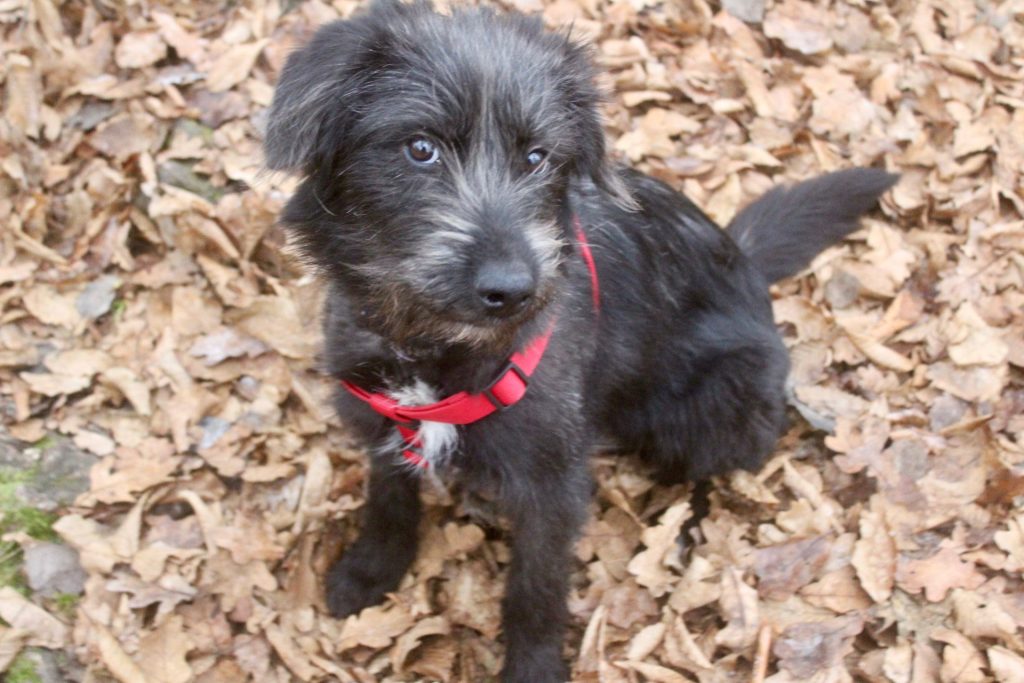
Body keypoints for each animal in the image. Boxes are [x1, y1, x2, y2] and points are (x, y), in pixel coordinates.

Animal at [263, 2, 897, 680]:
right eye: (420, 148)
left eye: (538, 156)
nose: (513, 289)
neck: (434, 349)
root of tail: (747, 262)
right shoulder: (382, 417)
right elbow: (388, 497)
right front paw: (371, 568)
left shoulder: (552, 486)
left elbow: (536, 590)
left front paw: (533, 665)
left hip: (720, 403)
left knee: (719, 468)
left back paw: (686, 526)